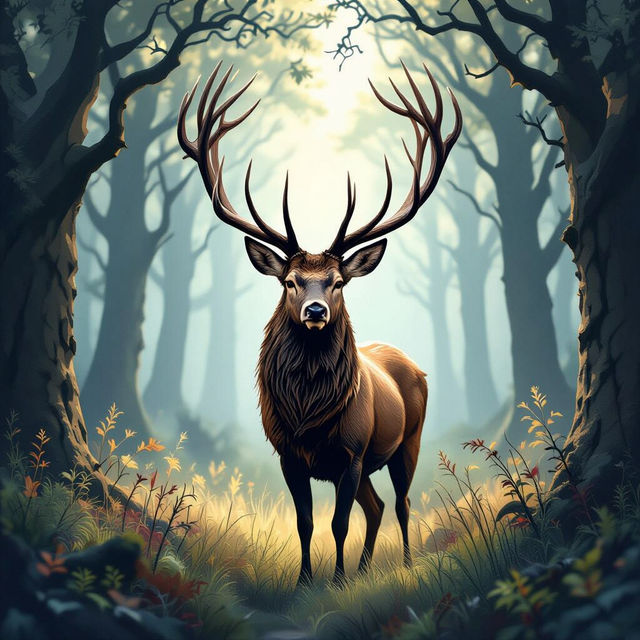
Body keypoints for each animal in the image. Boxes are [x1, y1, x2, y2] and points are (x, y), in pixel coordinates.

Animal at [177, 61, 462, 585]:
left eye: (337, 281)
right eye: (290, 281)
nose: (315, 311)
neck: (310, 417)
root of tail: (413, 364)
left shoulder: (351, 452)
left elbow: (339, 522)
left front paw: (337, 579)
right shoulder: (289, 455)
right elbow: (307, 522)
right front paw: (307, 581)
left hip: (406, 441)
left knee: (401, 503)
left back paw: (404, 564)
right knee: (376, 507)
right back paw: (367, 568)